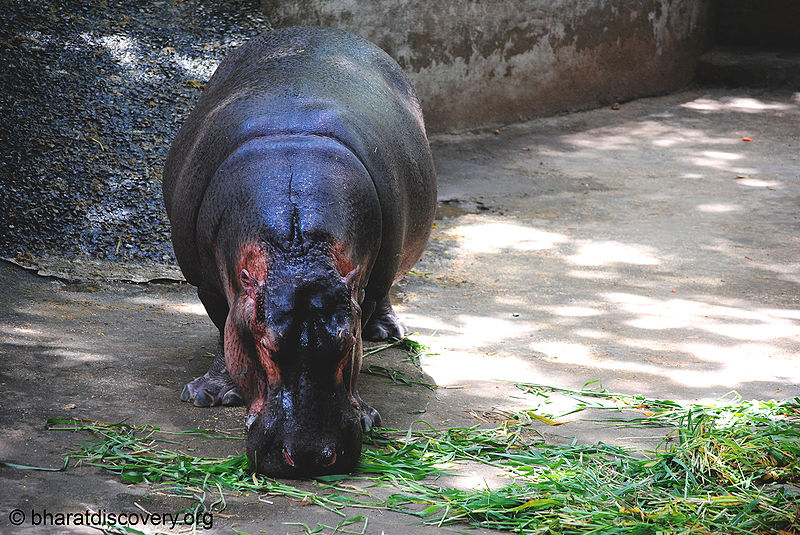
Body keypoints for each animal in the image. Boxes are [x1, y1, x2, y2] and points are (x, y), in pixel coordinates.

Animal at [161, 27, 436, 477]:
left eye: (347, 343)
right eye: (265, 345)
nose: (310, 456)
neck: (296, 251)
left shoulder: (361, 288)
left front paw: (365, 414)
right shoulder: (208, 284)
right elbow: (223, 328)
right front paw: (209, 394)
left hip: (390, 262)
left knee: (385, 293)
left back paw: (389, 331)